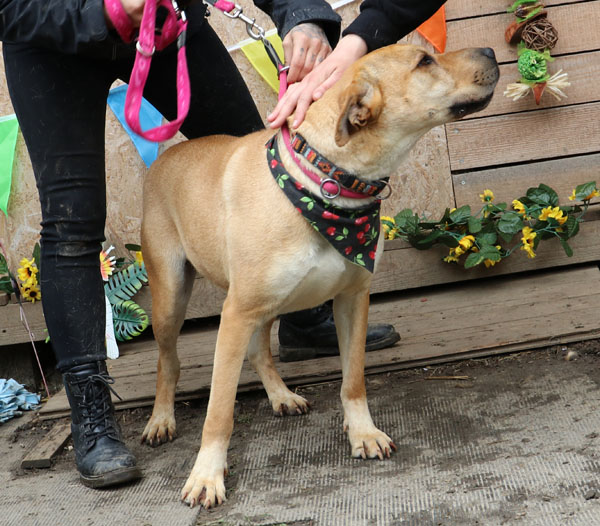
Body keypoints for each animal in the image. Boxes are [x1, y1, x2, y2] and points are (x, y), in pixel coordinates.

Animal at [140, 44, 499, 508]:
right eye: (424, 61)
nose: (490, 49)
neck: (325, 183)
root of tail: (164, 156)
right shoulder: (236, 314)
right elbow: (218, 412)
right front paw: (206, 475)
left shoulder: (352, 299)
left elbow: (354, 380)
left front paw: (362, 432)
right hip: (171, 298)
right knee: (168, 361)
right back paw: (161, 419)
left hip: (266, 304)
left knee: (260, 351)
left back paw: (280, 395)